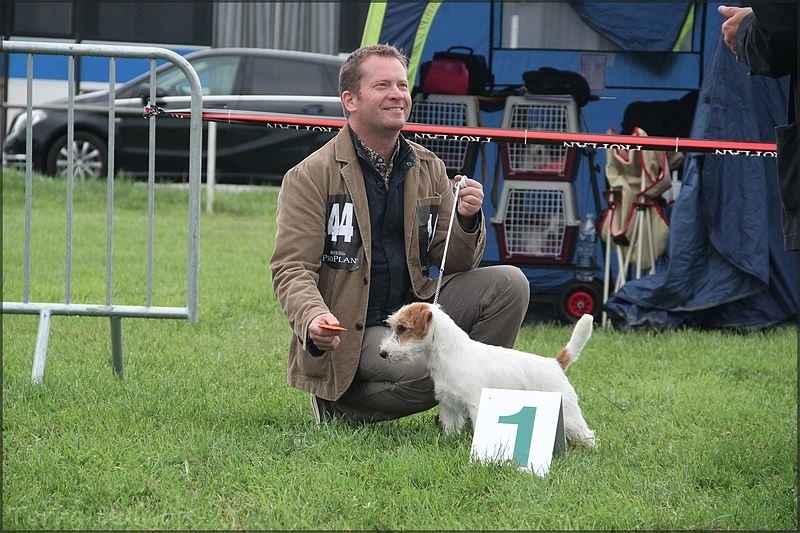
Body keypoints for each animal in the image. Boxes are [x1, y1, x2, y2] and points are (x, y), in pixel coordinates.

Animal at [379, 302, 596, 447]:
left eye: (402, 328)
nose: (382, 353)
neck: (452, 354)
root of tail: (555, 363)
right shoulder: (448, 405)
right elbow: (450, 429)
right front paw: (449, 442)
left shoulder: (476, 404)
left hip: (569, 413)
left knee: (588, 435)